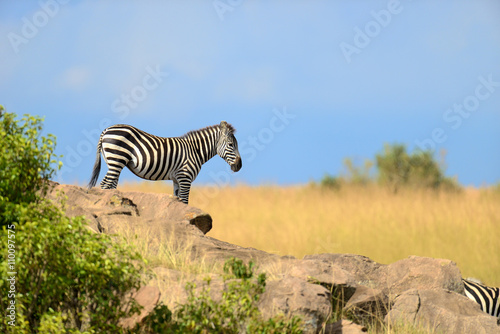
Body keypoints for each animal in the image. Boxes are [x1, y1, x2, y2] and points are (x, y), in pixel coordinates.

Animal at [88, 120, 242, 204]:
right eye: (230, 145)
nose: (239, 166)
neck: (195, 150)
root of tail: (106, 130)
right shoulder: (185, 177)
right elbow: (185, 202)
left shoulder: (177, 179)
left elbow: (178, 201)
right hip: (116, 159)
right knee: (104, 184)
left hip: (114, 162)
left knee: (110, 185)